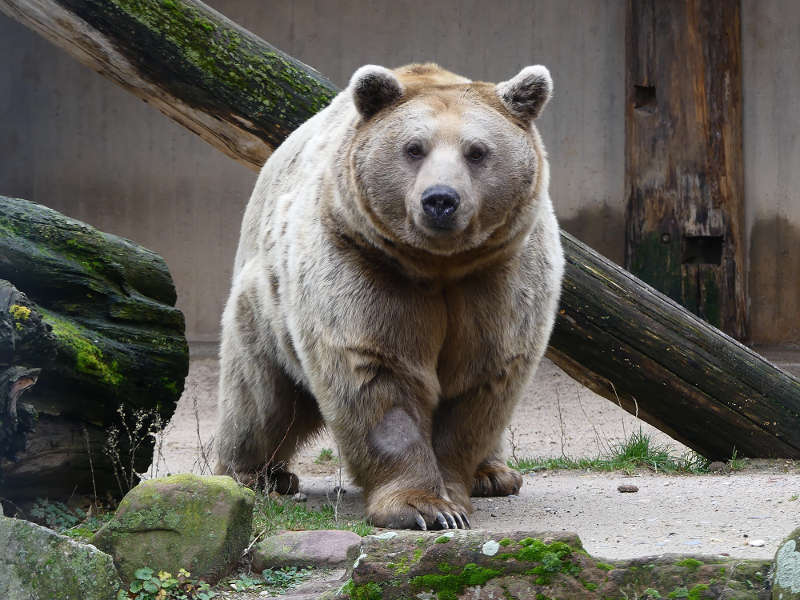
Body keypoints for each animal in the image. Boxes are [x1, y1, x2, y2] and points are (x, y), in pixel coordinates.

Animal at [212, 61, 564, 528]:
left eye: (476, 151)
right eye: (414, 148)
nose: (440, 199)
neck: (439, 266)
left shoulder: (499, 277)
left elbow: (481, 379)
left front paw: (453, 492)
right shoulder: (362, 264)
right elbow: (377, 374)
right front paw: (424, 507)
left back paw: (494, 474)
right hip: (265, 306)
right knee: (260, 400)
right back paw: (254, 475)